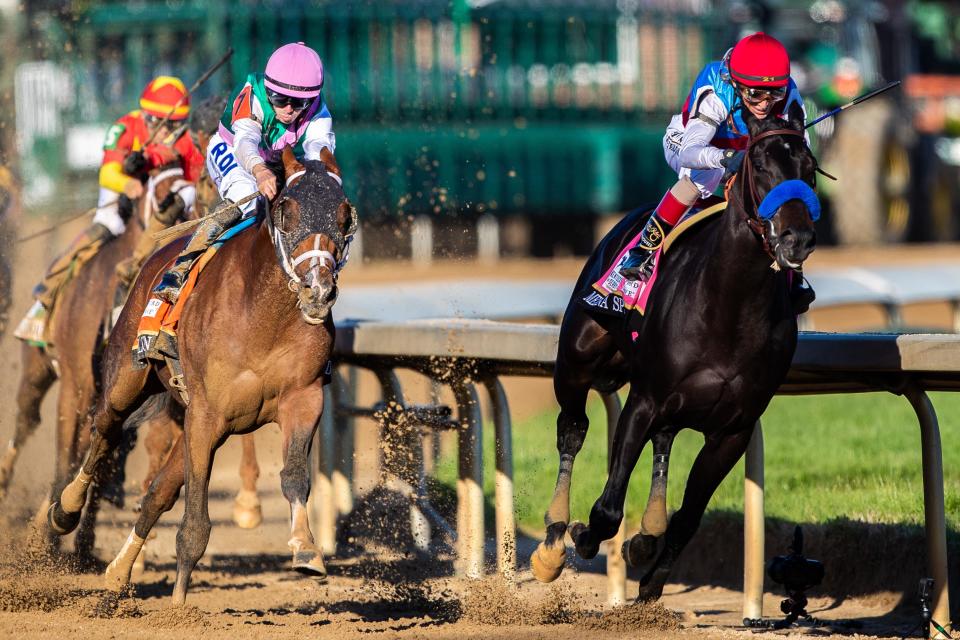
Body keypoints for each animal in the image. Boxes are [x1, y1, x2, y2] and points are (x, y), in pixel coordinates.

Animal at [49, 148, 356, 604]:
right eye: (287, 210)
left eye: (343, 215)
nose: (317, 290)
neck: (263, 314)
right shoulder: (207, 414)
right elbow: (194, 521)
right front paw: (179, 606)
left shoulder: (302, 398)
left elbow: (295, 476)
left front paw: (306, 549)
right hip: (126, 378)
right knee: (104, 428)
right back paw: (65, 509)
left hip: (190, 420)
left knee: (157, 492)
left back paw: (119, 572)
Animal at [532, 101, 816, 600]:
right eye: (761, 165)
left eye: (810, 168)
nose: (796, 237)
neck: (729, 309)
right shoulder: (644, 401)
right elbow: (608, 507)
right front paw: (584, 536)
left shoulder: (734, 430)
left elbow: (688, 518)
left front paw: (650, 580)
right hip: (576, 358)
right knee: (572, 429)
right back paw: (552, 540)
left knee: (664, 439)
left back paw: (647, 531)